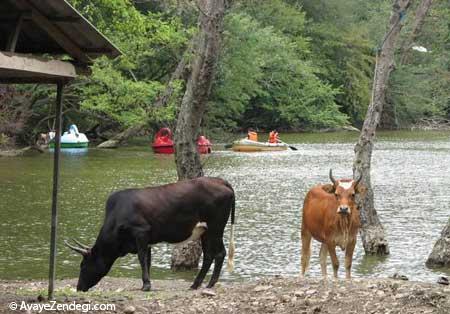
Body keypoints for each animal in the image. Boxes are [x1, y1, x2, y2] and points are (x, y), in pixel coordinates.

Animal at [67, 177, 237, 292]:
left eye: (83, 265)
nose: (79, 287)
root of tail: (220, 181)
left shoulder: (141, 232)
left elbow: (142, 259)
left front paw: (146, 285)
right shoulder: (147, 240)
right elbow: (147, 261)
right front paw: (147, 283)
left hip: (216, 227)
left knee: (219, 253)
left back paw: (209, 284)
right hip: (205, 231)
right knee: (210, 255)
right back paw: (196, 284)